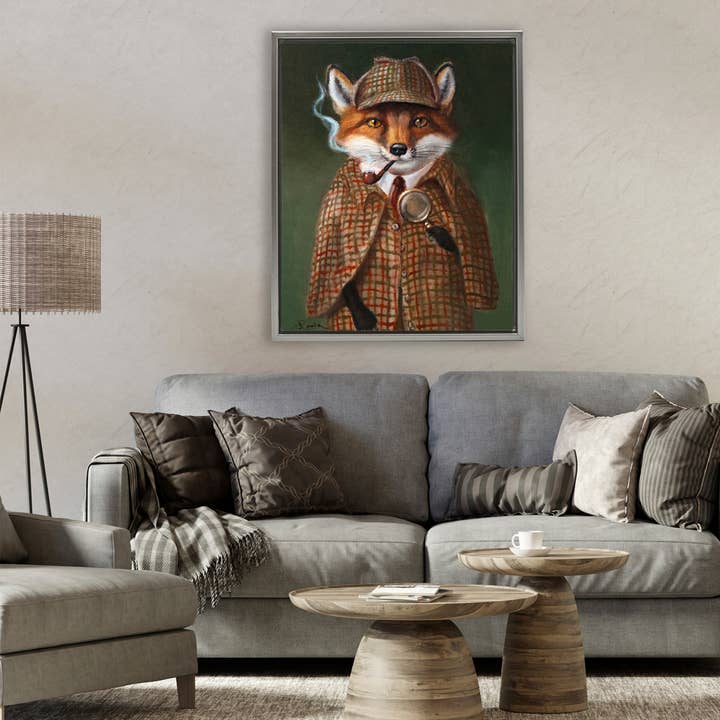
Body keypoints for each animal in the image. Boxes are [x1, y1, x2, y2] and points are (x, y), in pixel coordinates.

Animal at [306, 56, 499, 332]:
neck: (398, 182)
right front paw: (364, 317)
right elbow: (343, 277)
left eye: (419, 121)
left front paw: (441, 236)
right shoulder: (337, 211)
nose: (398, 149)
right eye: (375, 122)